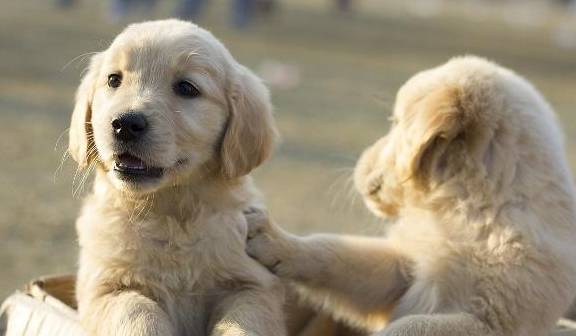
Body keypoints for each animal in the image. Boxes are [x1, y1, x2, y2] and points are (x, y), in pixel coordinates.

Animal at [68, 19, 284, 336]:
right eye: (113, 80)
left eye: (186, 88)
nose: (125, 124)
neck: (170, 214)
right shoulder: (105, 287)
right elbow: (138, 312)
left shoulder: (253, 285)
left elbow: (244, 320)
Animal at [245, 56, 576, 334]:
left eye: (395, 122)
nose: (359, 163)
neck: (470, 209)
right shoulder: (403, 269)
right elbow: (335, 253)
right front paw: (275, 240)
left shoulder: (491, 321)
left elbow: (412, 325)